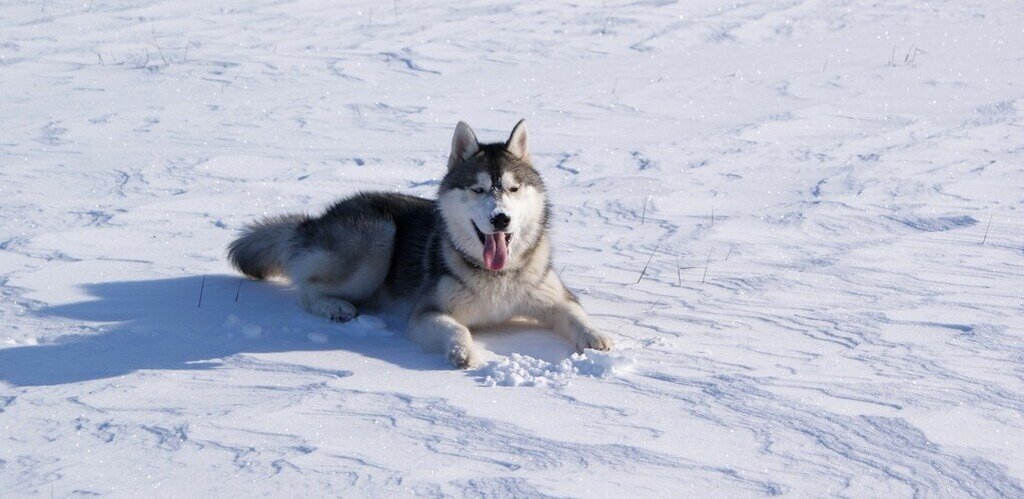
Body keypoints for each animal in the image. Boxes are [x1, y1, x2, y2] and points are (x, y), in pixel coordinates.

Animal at [228, 118, 610, 364]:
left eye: (513, 189)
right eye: (478, 189)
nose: (500, 218)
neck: (497, 277)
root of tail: (317, 220)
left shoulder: (554, 297)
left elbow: (576, 315)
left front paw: (596, 338)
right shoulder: (427, 311)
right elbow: (457, 329)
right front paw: (462, 351)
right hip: (377, 239)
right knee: (307, 288)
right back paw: (335, 307)